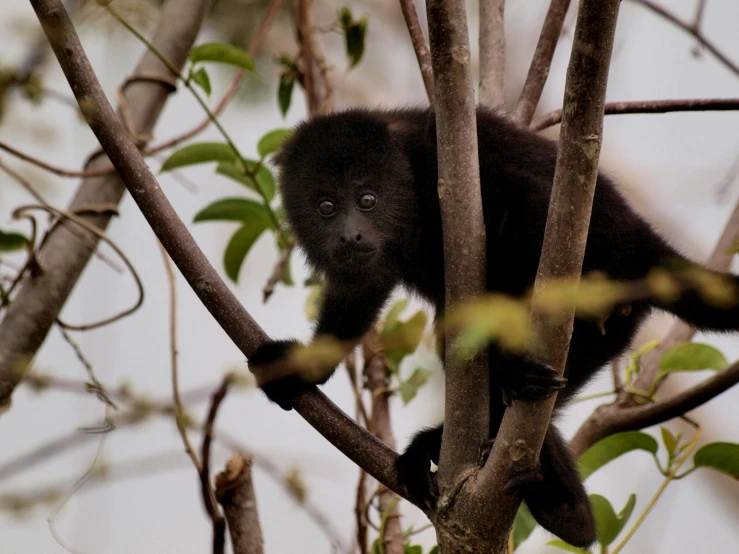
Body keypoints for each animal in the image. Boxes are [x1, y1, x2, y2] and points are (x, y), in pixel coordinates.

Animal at [249, 105, 739, 544]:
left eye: (367, 200)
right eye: (326, 206)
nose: (351, 235)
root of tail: (645, 249)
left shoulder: (443, 165)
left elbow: (530, 205)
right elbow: (359, 291)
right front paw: (302, 369)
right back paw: (569, 514)